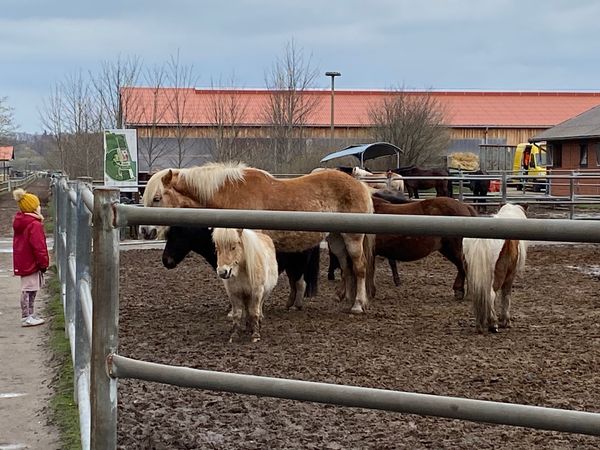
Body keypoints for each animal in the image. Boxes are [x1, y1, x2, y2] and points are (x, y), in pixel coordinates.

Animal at [162, 227, 322, 312]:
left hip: (298, 266)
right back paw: (289, 304)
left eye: (177, 234)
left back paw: (297, 305)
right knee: (294, 284)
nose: (166, 260)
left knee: (300, 284)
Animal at [462, 204, 528, 334]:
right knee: (491, 294)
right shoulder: (510, 276)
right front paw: (505, 321)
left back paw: (480, 325)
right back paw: (493, 324)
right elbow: (506, 296)